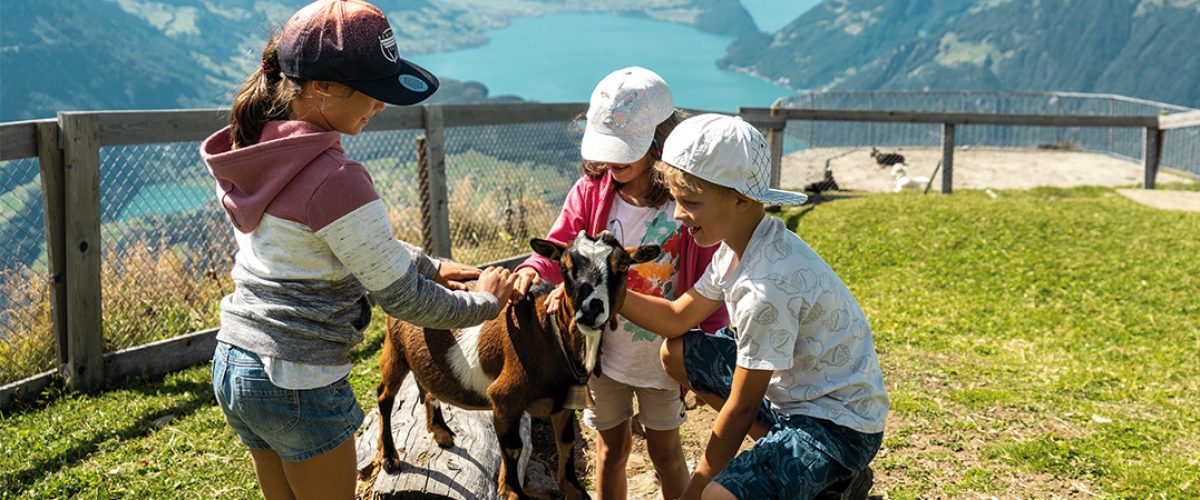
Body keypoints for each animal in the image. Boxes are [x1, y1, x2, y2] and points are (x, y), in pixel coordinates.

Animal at [376, 230, 660, 500]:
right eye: (564, 266)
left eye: (622, 265)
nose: (590, 310)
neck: (550, 333)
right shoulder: (505, 397)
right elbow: (513, 447)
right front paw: (513, 491)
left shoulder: (563, 401)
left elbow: (566, 442)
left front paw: (573, 489)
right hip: (394, 347)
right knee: (385, 396)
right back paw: (389, 457)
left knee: (425, 385)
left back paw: (441, 431)